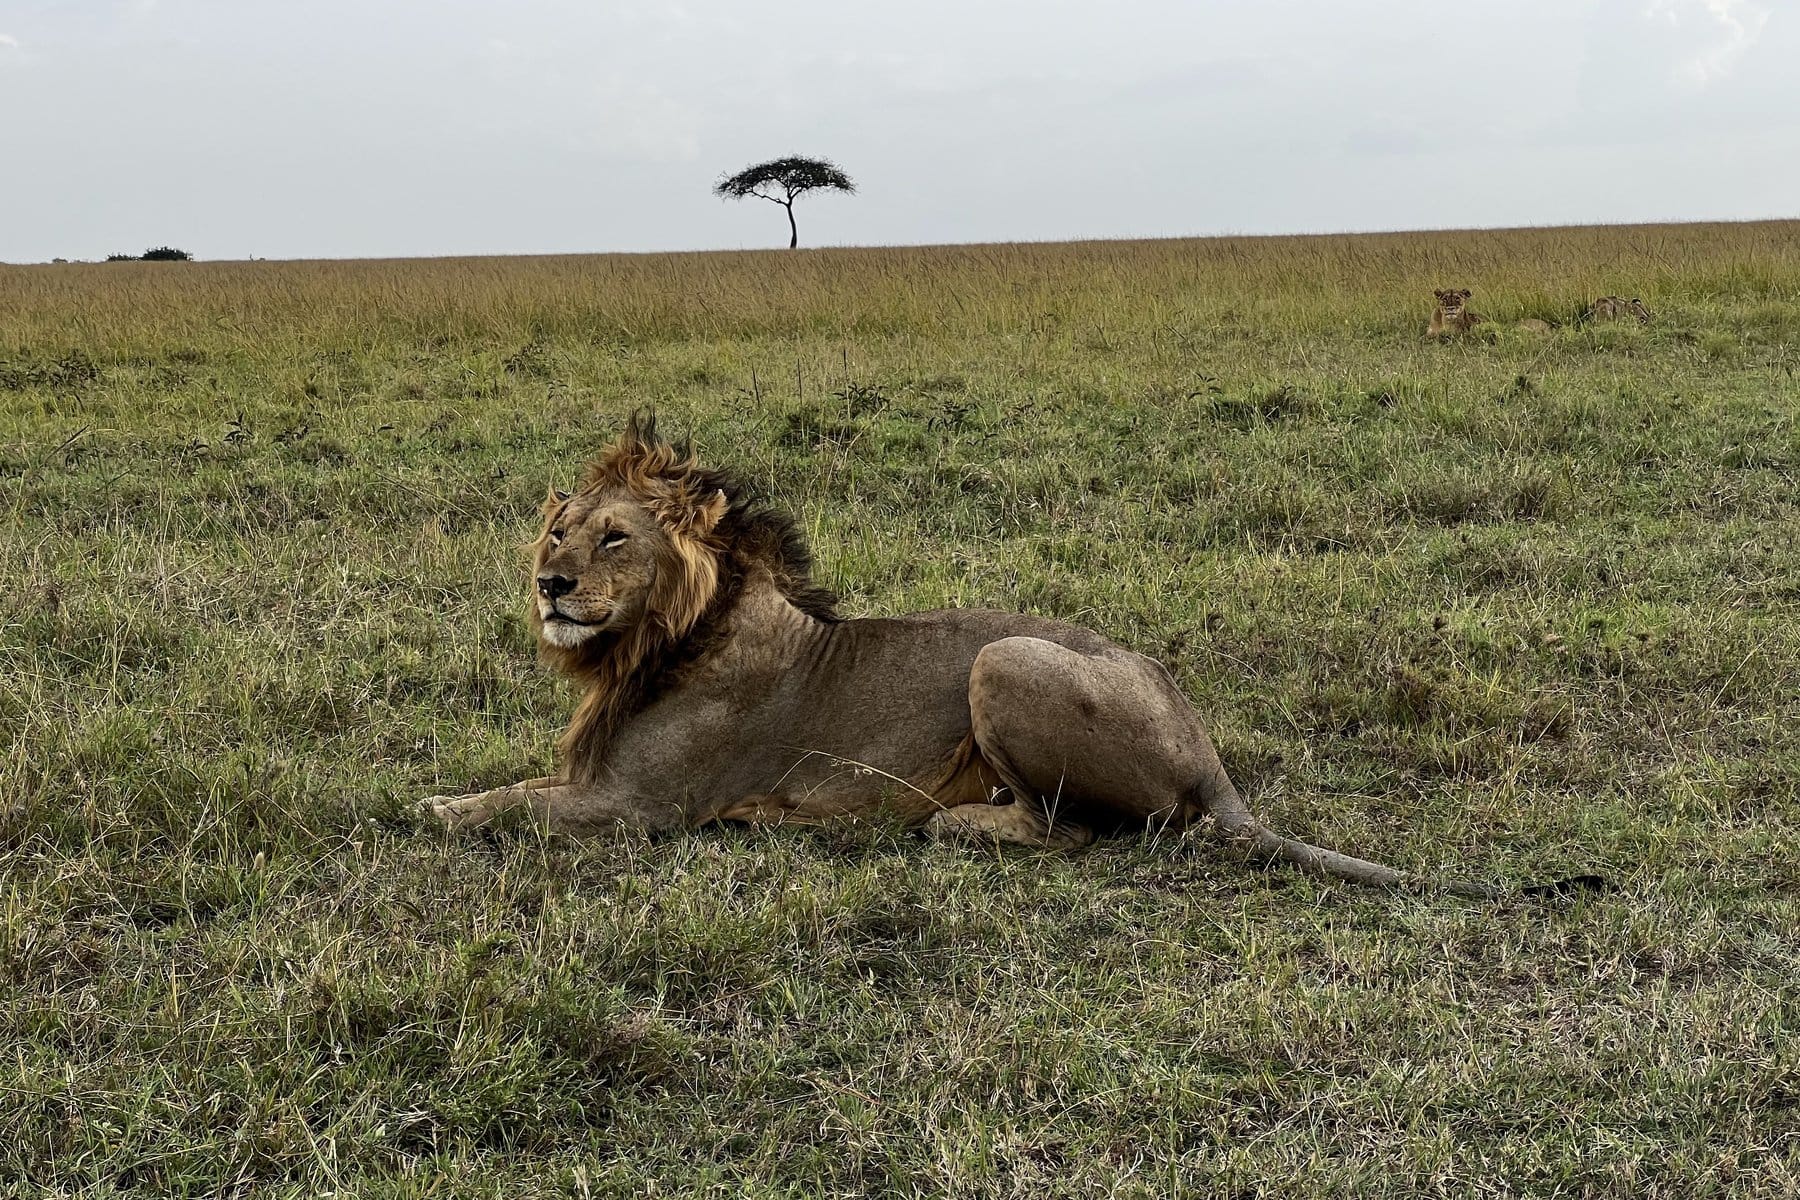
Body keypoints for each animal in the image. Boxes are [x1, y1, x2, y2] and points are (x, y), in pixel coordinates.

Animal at [426, 415, 1598, 898]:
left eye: (615, 538)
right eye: (557, 530)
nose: (550, 585)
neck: (650, 644)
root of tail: (1211, 756)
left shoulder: (638, 810)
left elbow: (496, 807)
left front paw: (426, 807)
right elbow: (508, 788)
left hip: (1007, 660)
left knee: (1067, 833)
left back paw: (951, 823)